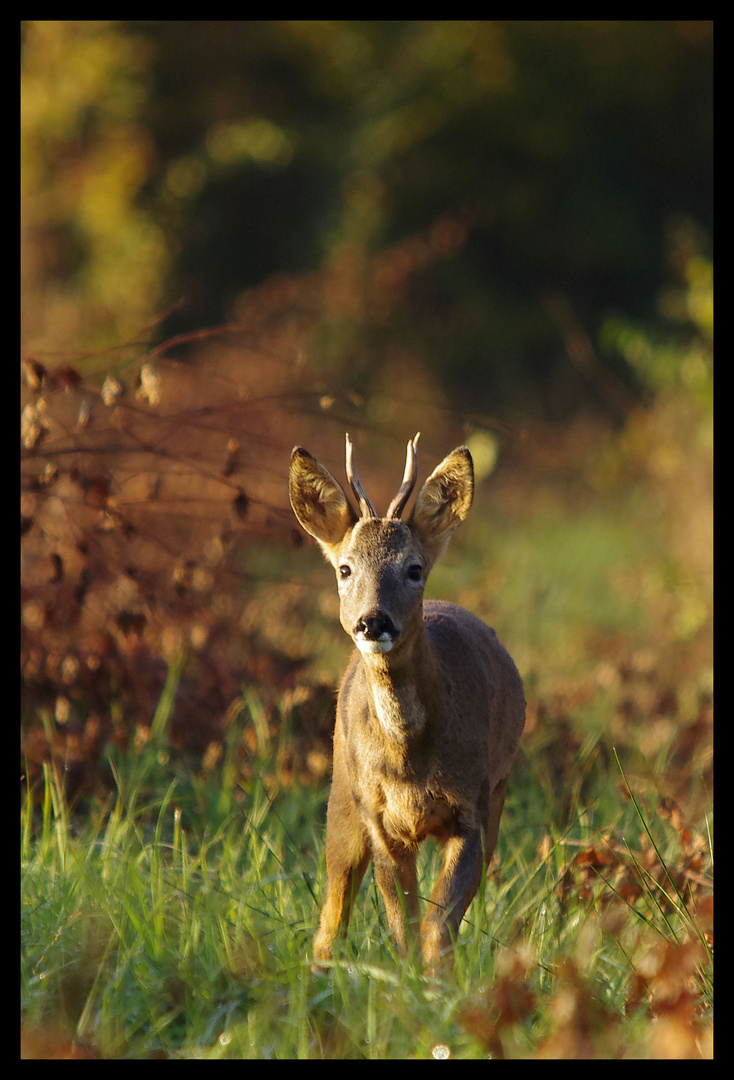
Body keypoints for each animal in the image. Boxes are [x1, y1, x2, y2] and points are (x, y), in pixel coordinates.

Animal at [289, 429, 524, 972]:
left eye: (414, 569)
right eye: (345, 569)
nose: (373, 621)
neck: (410, 757)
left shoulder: (474, 807)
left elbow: (437, 927)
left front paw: (436, 986)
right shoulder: (379, 819)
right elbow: (403, 925)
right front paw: (410, 982)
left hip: (499, 794)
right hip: (341, 792)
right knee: (331, 913)